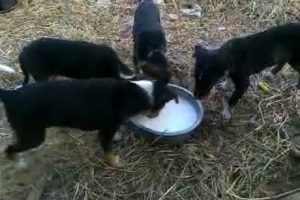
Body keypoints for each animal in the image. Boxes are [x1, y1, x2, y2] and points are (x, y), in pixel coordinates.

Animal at [0, 78, 177, 167]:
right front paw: (114, 162)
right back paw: (17, 161)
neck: (141, 93)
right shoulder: (106, 130)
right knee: (9, 148)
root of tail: (10, 94)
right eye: (163, 104)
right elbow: (108, 150)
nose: (156, 115)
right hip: (33, 135)